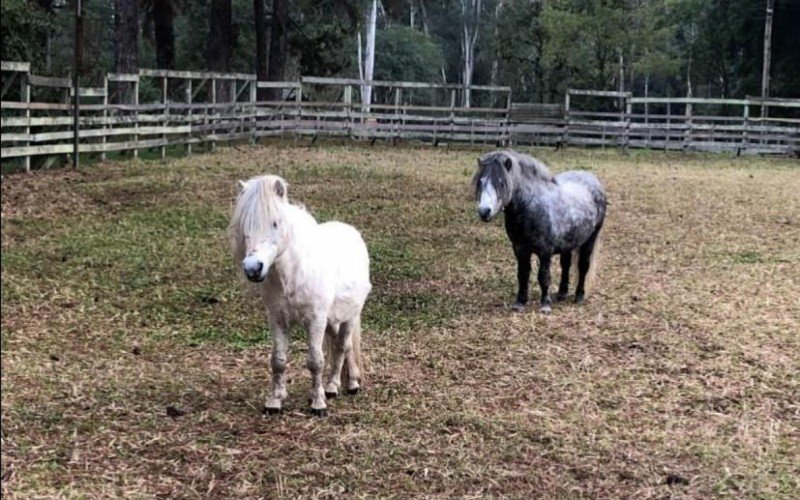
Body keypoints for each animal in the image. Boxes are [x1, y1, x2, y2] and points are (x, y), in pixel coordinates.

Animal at [228, 174, 372, 416]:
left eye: (275, 223)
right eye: (245, 225)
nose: (253, 268)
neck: (293, 275)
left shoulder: (315, 319)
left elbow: (315, 361)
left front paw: (318, 404)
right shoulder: (277, 318)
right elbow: (278, 360)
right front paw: (275, 401)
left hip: (350, 316)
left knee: (343, 346)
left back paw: (345, 385)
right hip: (332, 320)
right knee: (341, 346)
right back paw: (337, 384)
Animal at [468, 148, 608, 312]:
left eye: (501, 183)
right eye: (480, 182)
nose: (484, 211)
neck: (532, 206)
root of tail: (593, 180)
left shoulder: (545, 251)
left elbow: (544, 276)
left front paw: (545, 304)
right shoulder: (520, 249)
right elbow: (523, 274)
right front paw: (520, 302)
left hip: (590, 239)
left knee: (583, 266)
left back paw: (579, 296)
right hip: (568, 244)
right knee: (565, 265)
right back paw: (561, 294)